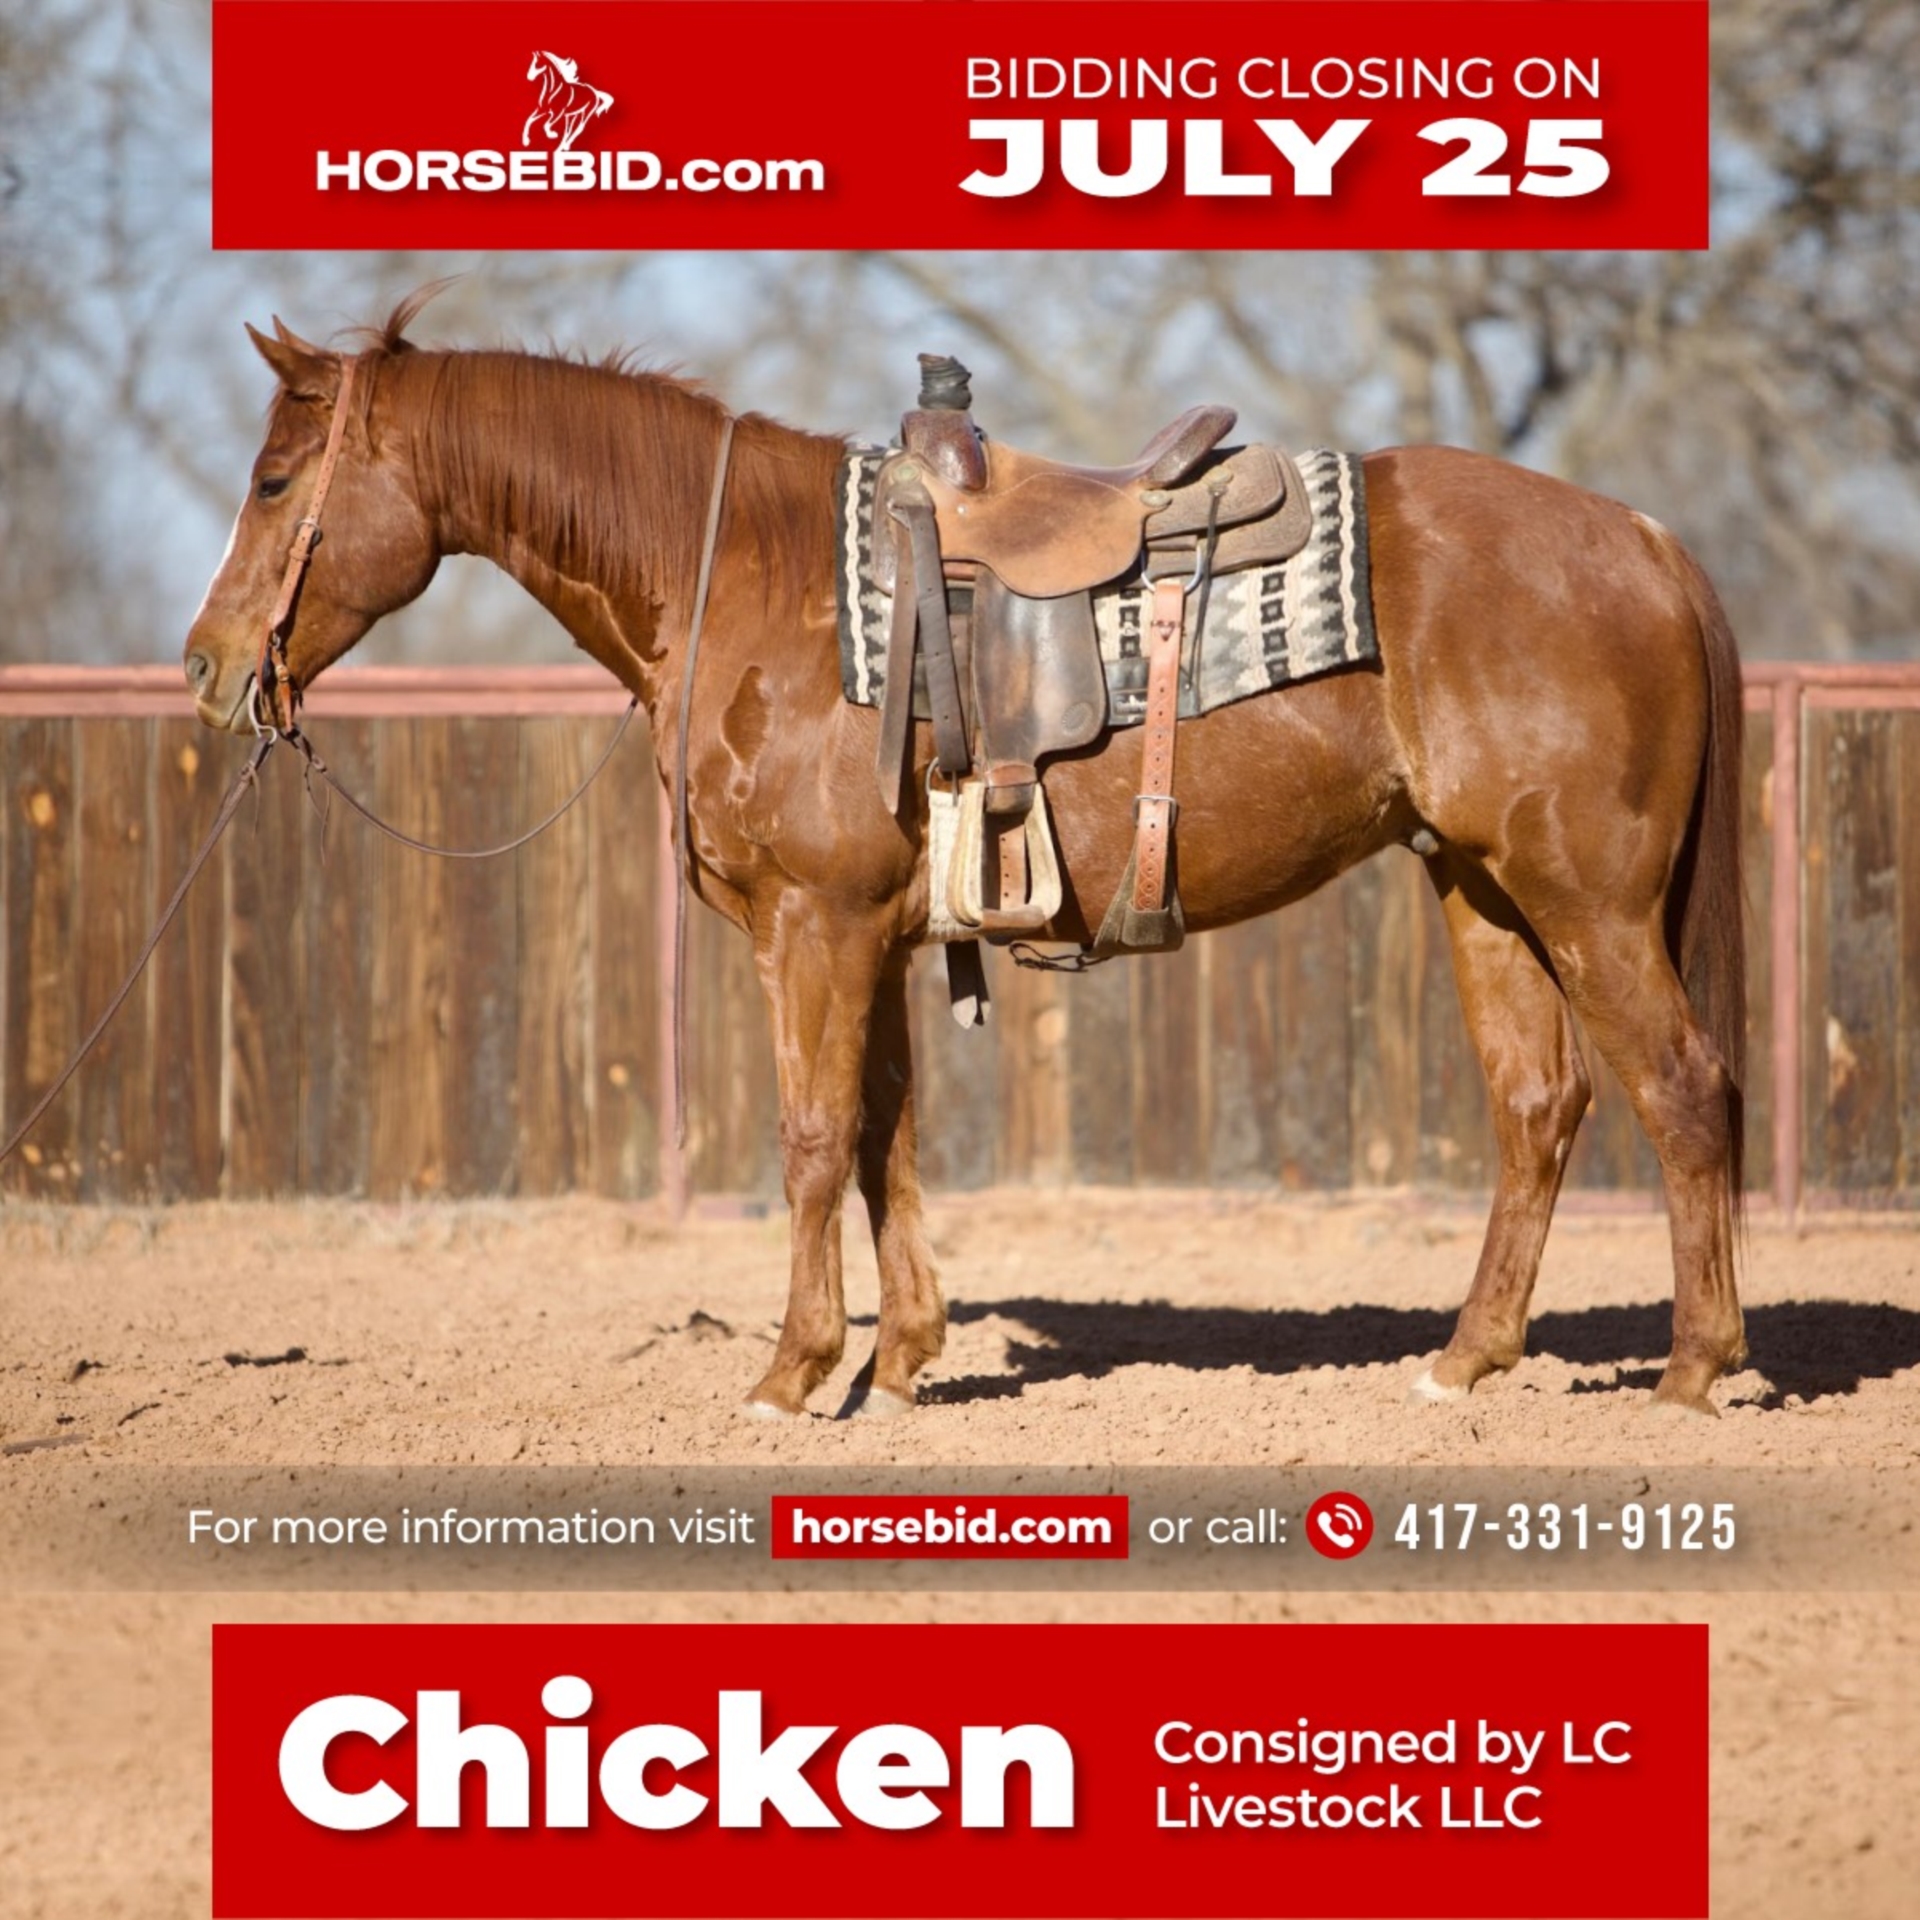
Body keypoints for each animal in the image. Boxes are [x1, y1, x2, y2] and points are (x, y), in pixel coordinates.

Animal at [182, 300, 1749, 1421]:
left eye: (272, 479)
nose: (204, 666)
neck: (751, 580)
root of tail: (1646, 540)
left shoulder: (810, 926)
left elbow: (815, 1137)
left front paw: (791, 1372)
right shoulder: (874, 933)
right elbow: (887, 1132)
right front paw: (899, 1360)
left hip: (1590, 901)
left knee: (1683, 1090)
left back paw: (1692, 1370)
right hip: (1481, 888)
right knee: (1539, 1107)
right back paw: (1466, 1359)